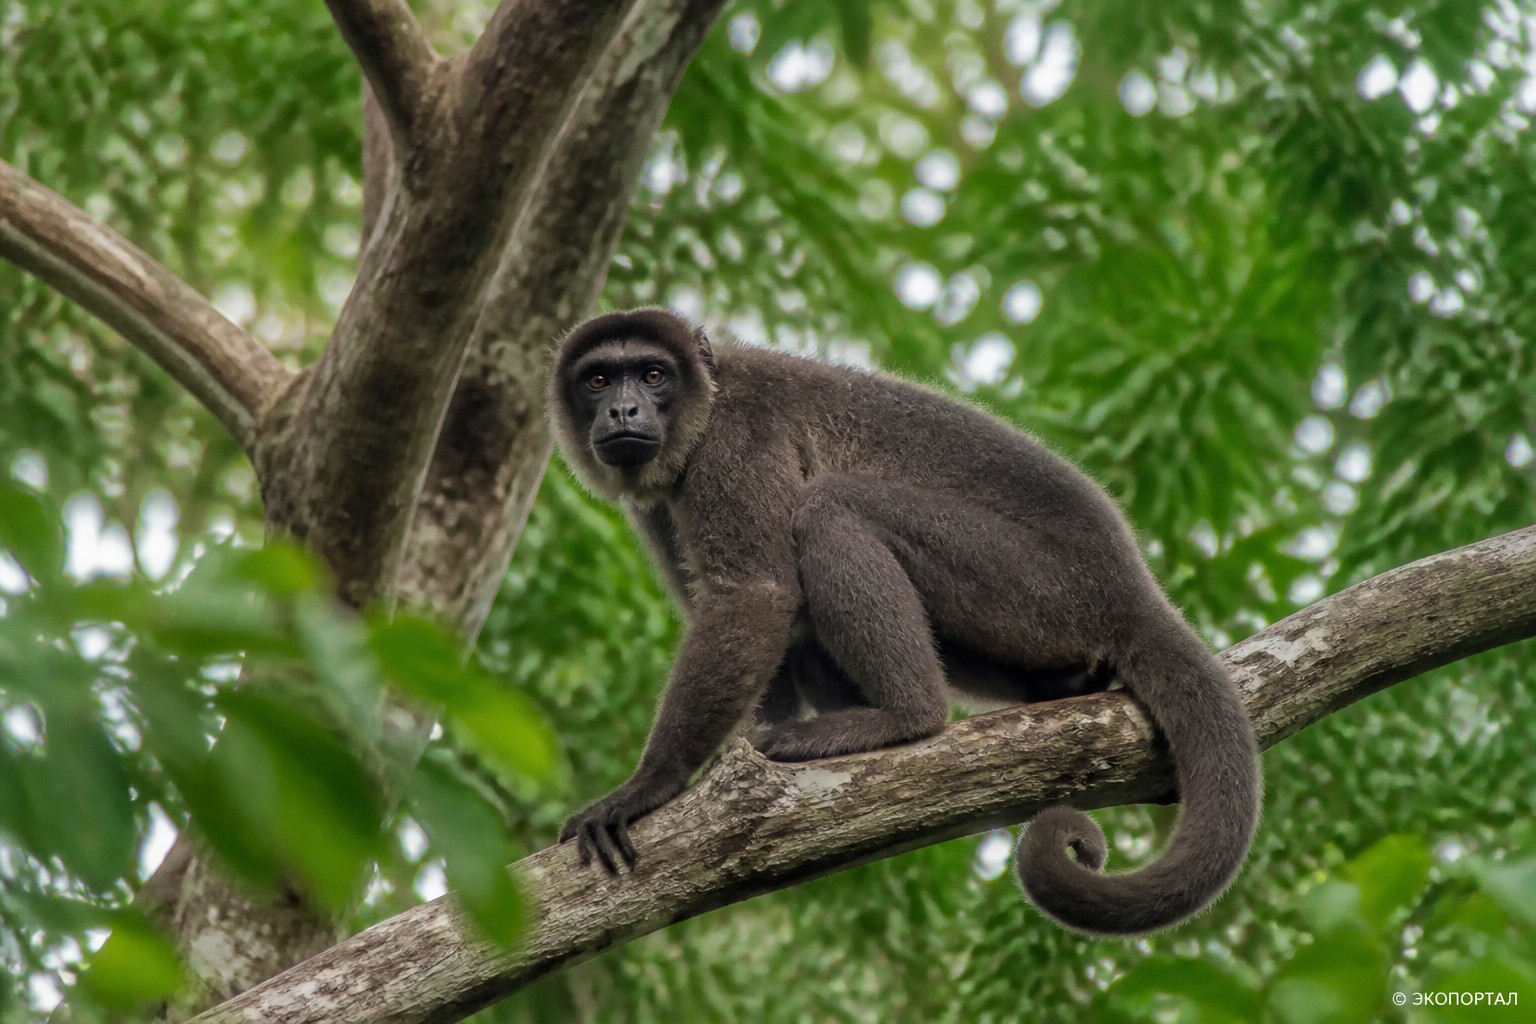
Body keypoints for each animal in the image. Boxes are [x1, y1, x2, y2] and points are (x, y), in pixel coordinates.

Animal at [550, 307, 1260, 936]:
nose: (623, 411)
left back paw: (906, 716)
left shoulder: (735, 440)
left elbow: (755, 596)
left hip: (1044, 588)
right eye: (598, 381)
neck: (706, 404)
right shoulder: (656, 501)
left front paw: (648, 786)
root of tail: (1131, 588)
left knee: (831, 507)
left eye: (652, 375)